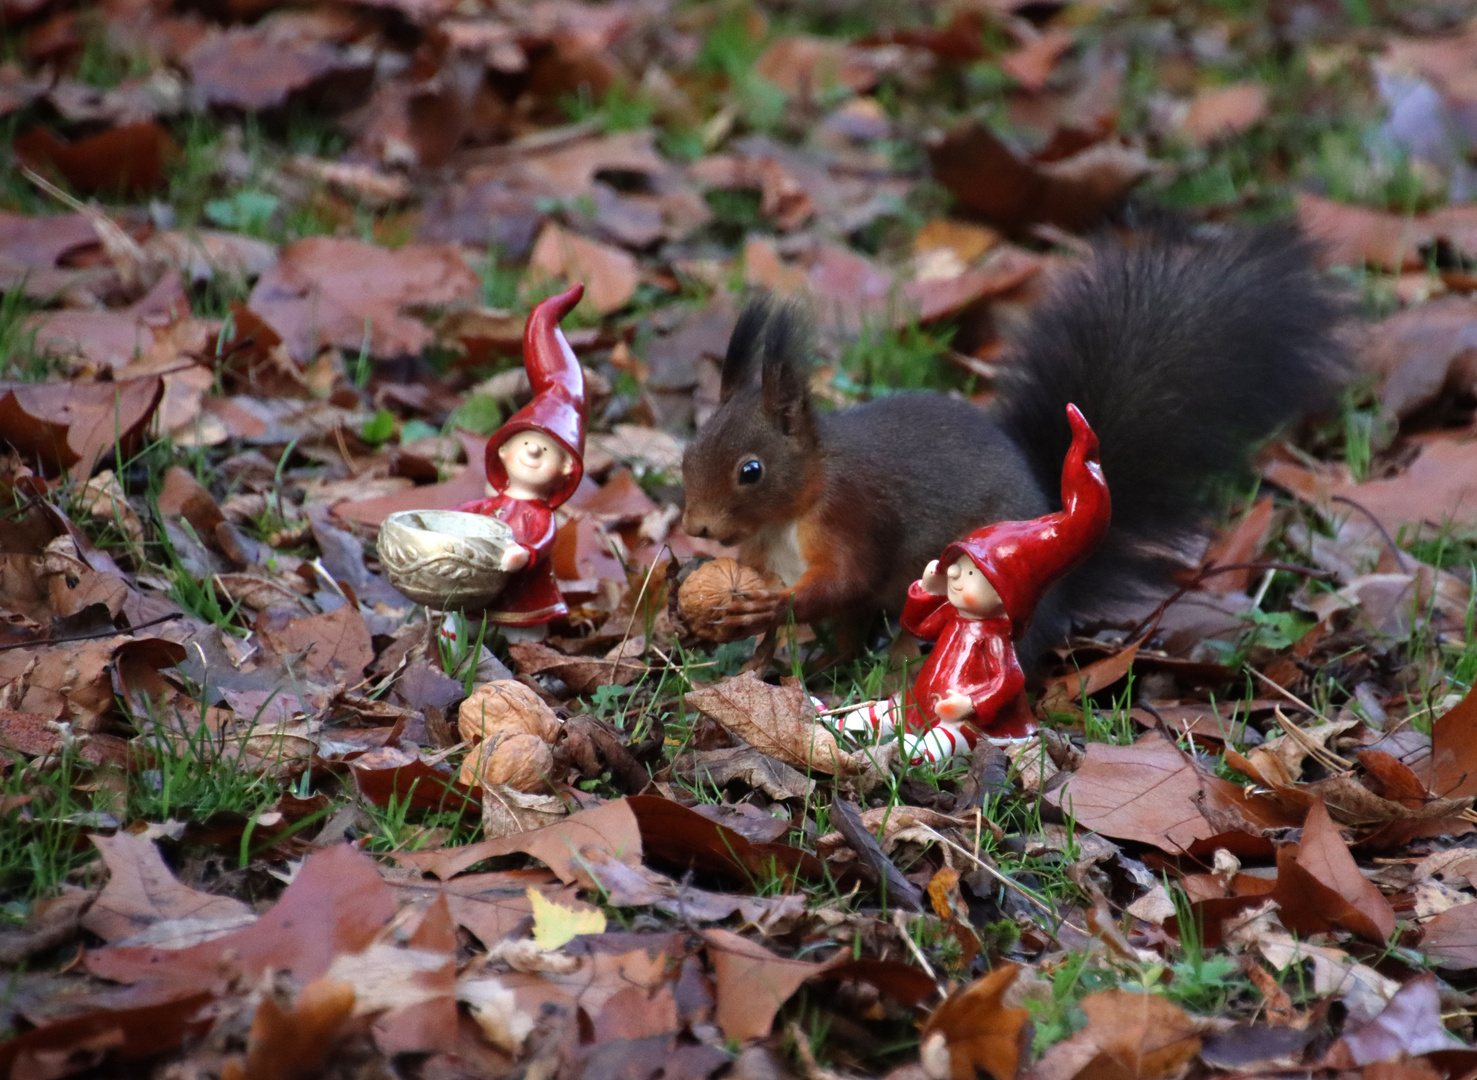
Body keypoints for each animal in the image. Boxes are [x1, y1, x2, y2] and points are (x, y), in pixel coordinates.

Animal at [679, 224, 1352, 658]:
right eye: (687, 453)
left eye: (751, 471)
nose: (698, 527)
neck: (795, 507)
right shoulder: (767, 557)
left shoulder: (852, 517)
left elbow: (845, 579)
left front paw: (763, 611)